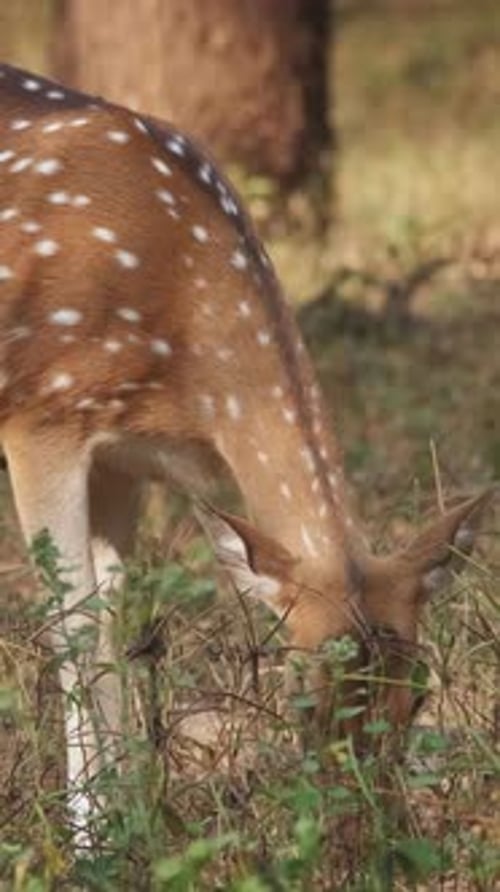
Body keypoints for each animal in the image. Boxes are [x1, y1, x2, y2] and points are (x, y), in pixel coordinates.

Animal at [0, 61, 492, 842]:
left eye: (418, 693)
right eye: (302, 695)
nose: (370, 838)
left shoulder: (121, 459)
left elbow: (113, 622)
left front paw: (137, 823)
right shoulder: (40, 414)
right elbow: (71, 628)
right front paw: (92, 840)